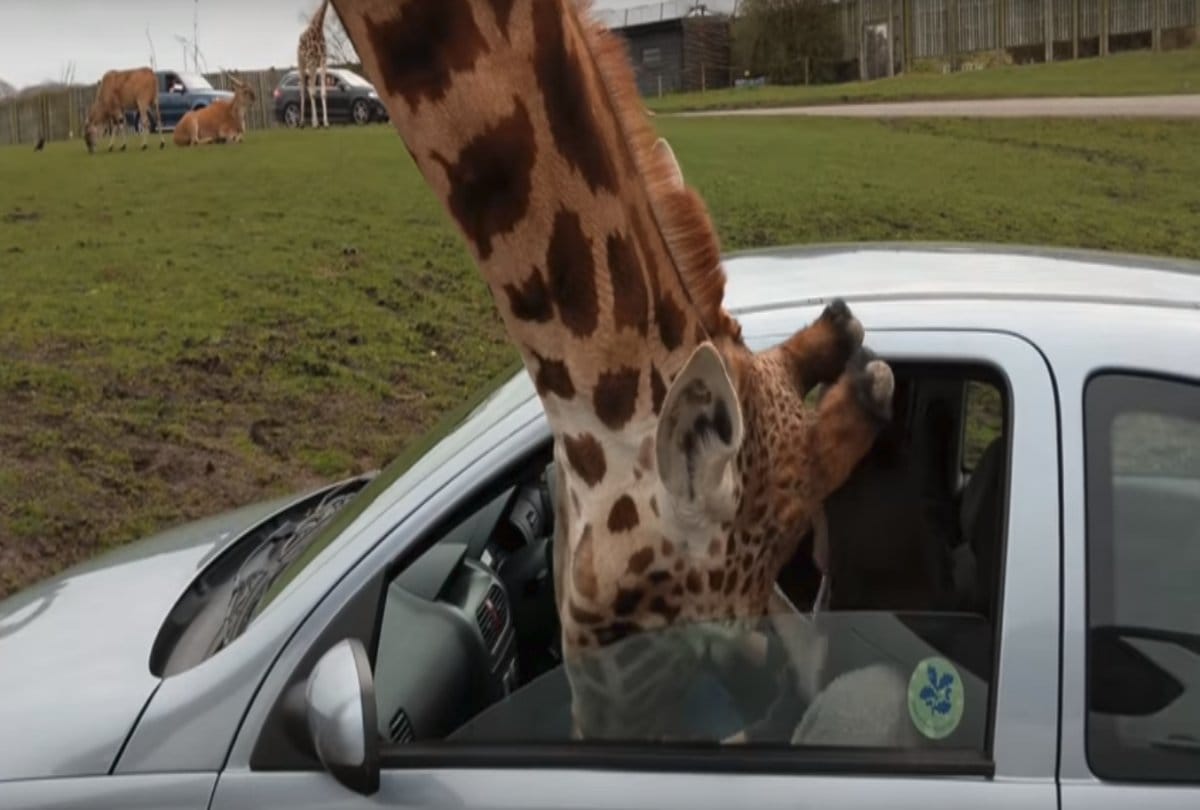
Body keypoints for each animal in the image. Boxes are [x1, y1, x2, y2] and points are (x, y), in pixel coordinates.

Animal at [297, 0, 332, 128]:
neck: (318, 28)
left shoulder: (323, 60)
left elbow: (323, 92)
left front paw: (325, 122)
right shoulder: (312, 61)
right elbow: (313, 93)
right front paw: (317, 123)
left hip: (312, 67)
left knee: (309, 87)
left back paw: (311, 121)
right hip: (302, 64)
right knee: (303, 90)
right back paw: (302, 122)